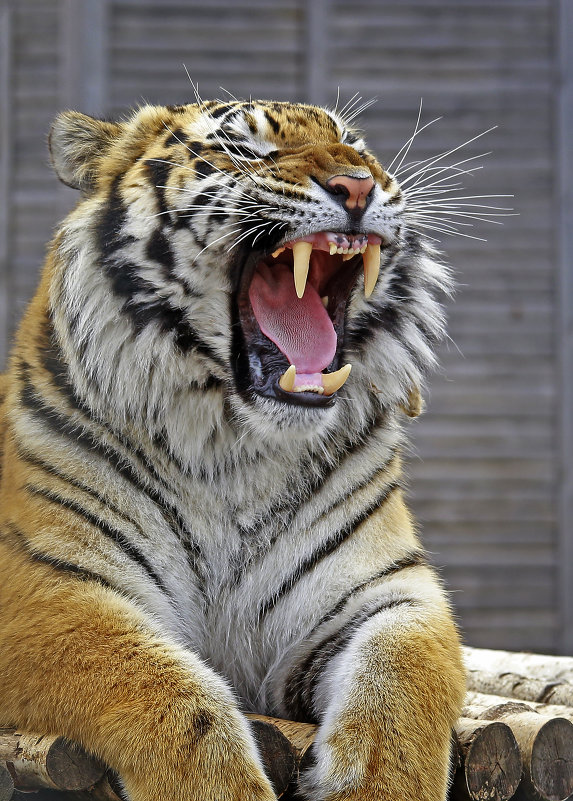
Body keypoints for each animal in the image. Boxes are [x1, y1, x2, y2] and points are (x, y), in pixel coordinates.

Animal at [0, 100, 464, 800]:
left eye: (353, 144)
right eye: (242, 149)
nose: (358, 186)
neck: (236, 452)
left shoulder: (388, 593)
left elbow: (403, 692)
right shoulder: (49, 589)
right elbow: (168, 691)